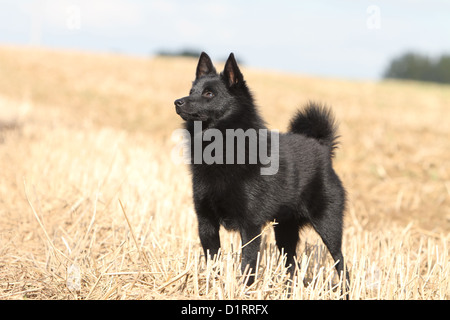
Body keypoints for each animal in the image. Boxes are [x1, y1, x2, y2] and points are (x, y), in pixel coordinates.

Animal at [174, 53, 350, 292]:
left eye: (209, 94)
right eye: (191, 91)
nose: (177, 102)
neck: (222, 148)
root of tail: (322, 147)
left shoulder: (250, 225)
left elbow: (247, 263)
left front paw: (243, 291)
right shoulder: (206, 222)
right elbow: (213, 261)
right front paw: (212, 286)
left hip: (328, 224)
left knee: (341, 261)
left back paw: (346, 291)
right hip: (285, 230)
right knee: (291, 263)